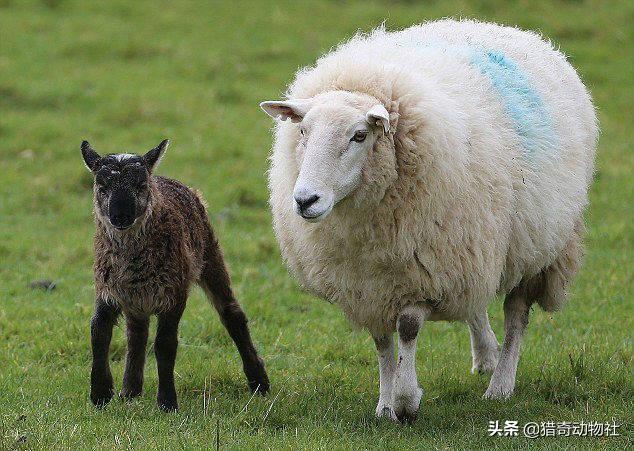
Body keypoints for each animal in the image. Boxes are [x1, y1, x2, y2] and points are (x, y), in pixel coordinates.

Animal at [260, 20, 596, 424]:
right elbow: (382, 341)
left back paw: (500, 384)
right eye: (303, 131)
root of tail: (506, 29)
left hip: (536, 244)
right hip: (474, 245)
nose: (305, 200)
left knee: (516, 314)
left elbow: (407, 328)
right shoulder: (370, 283)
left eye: (360, 135)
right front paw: (385, 404)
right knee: (476, 303)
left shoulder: (423, 272)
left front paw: (406, 400)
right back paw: (486, 356)